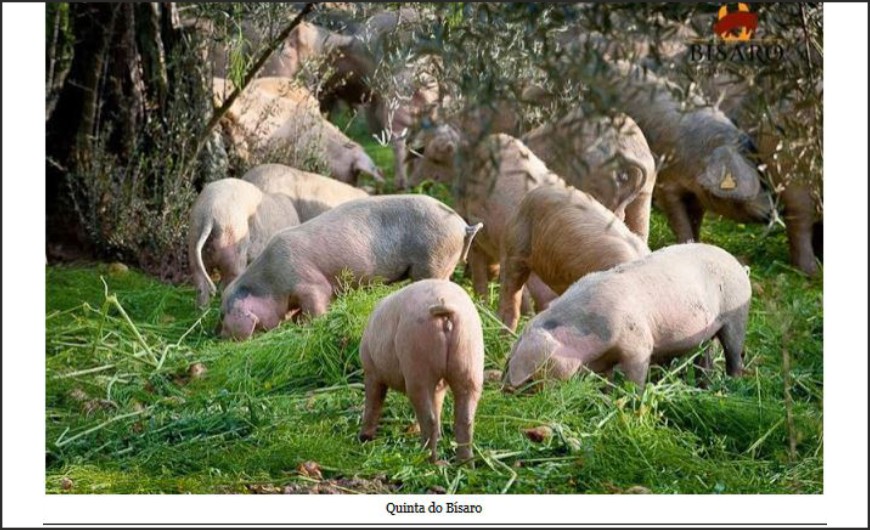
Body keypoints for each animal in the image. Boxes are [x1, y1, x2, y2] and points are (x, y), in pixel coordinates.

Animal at [188, 178, 300, 308]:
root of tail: (209, 212)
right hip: (233, 241)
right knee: (230, 280)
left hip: (194, 235)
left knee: (200, 281)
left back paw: (202, 309)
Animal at [220, 195, 483, 340]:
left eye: (223, 313)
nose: (218, 333)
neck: (270, 281)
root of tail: (463, 226)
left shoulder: (310, 283)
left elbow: (317, 304)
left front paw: (312, 326)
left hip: (432, 261)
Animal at [359, 279, 484, 463]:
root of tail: (444, 306)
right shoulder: (440, 386)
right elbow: (438, 404)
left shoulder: (371, 371)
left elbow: (373, 401)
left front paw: (365, 438)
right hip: (470, 359)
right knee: (464, 418)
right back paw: (464, 464)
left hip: (416, 361)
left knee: (428, 418)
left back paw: (426, 458)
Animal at [504, 243, 751, 391]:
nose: (505, 388)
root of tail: (739, 266)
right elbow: (607, 378)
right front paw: (605, 394)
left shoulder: (638, 344)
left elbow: (635, 375)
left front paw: (633, 398)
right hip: (707, 333)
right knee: (705, 359)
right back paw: (703, 387)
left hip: (737, 314)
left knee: (734, 354)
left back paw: (733, 384)